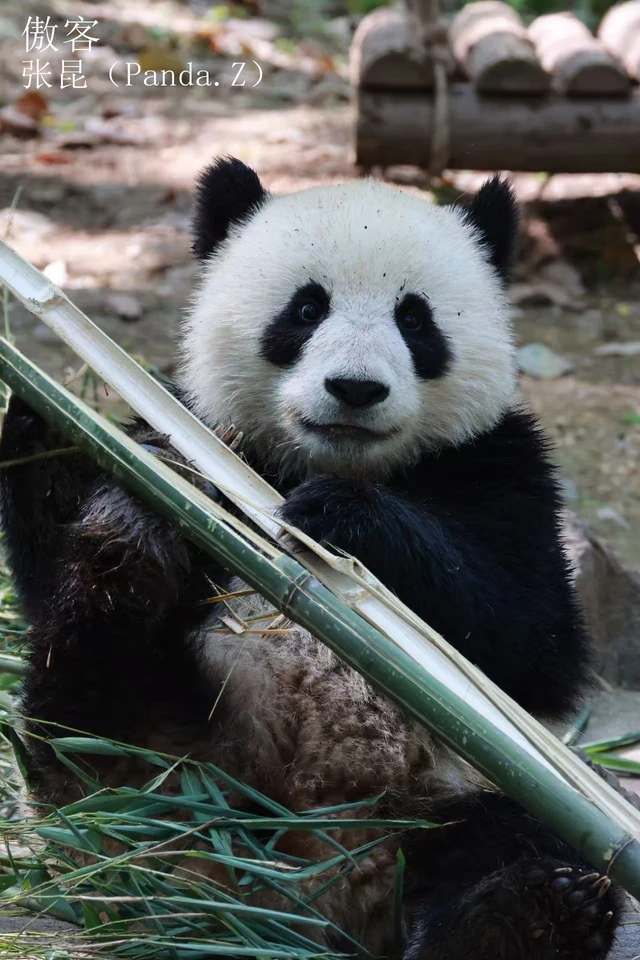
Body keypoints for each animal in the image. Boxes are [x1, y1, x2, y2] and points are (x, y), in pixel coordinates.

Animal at [0, 157, 625, 960]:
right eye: (305, 309)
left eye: (414, 319)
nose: (355, 389)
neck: (310, 462)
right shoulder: (191, 423)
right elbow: (48, 547)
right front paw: (47, 416)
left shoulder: (502, 465)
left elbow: (528, 635)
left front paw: (346, 517)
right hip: (146, 764)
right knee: (86, 716)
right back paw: (128, 562)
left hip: (469, 784)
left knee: (519, 835)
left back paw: (525, 915)